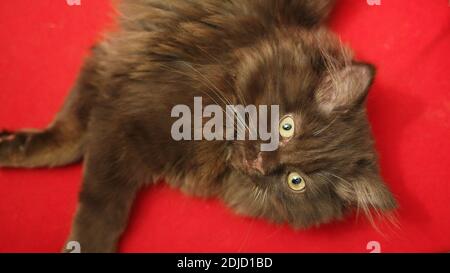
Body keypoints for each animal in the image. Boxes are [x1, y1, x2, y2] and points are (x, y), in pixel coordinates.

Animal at [0, 0, 398, 252]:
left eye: (295, 181)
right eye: (286, 127)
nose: (260, 164)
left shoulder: (115, 81)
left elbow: (72, 146)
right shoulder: (121, 98)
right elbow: (94, 196)